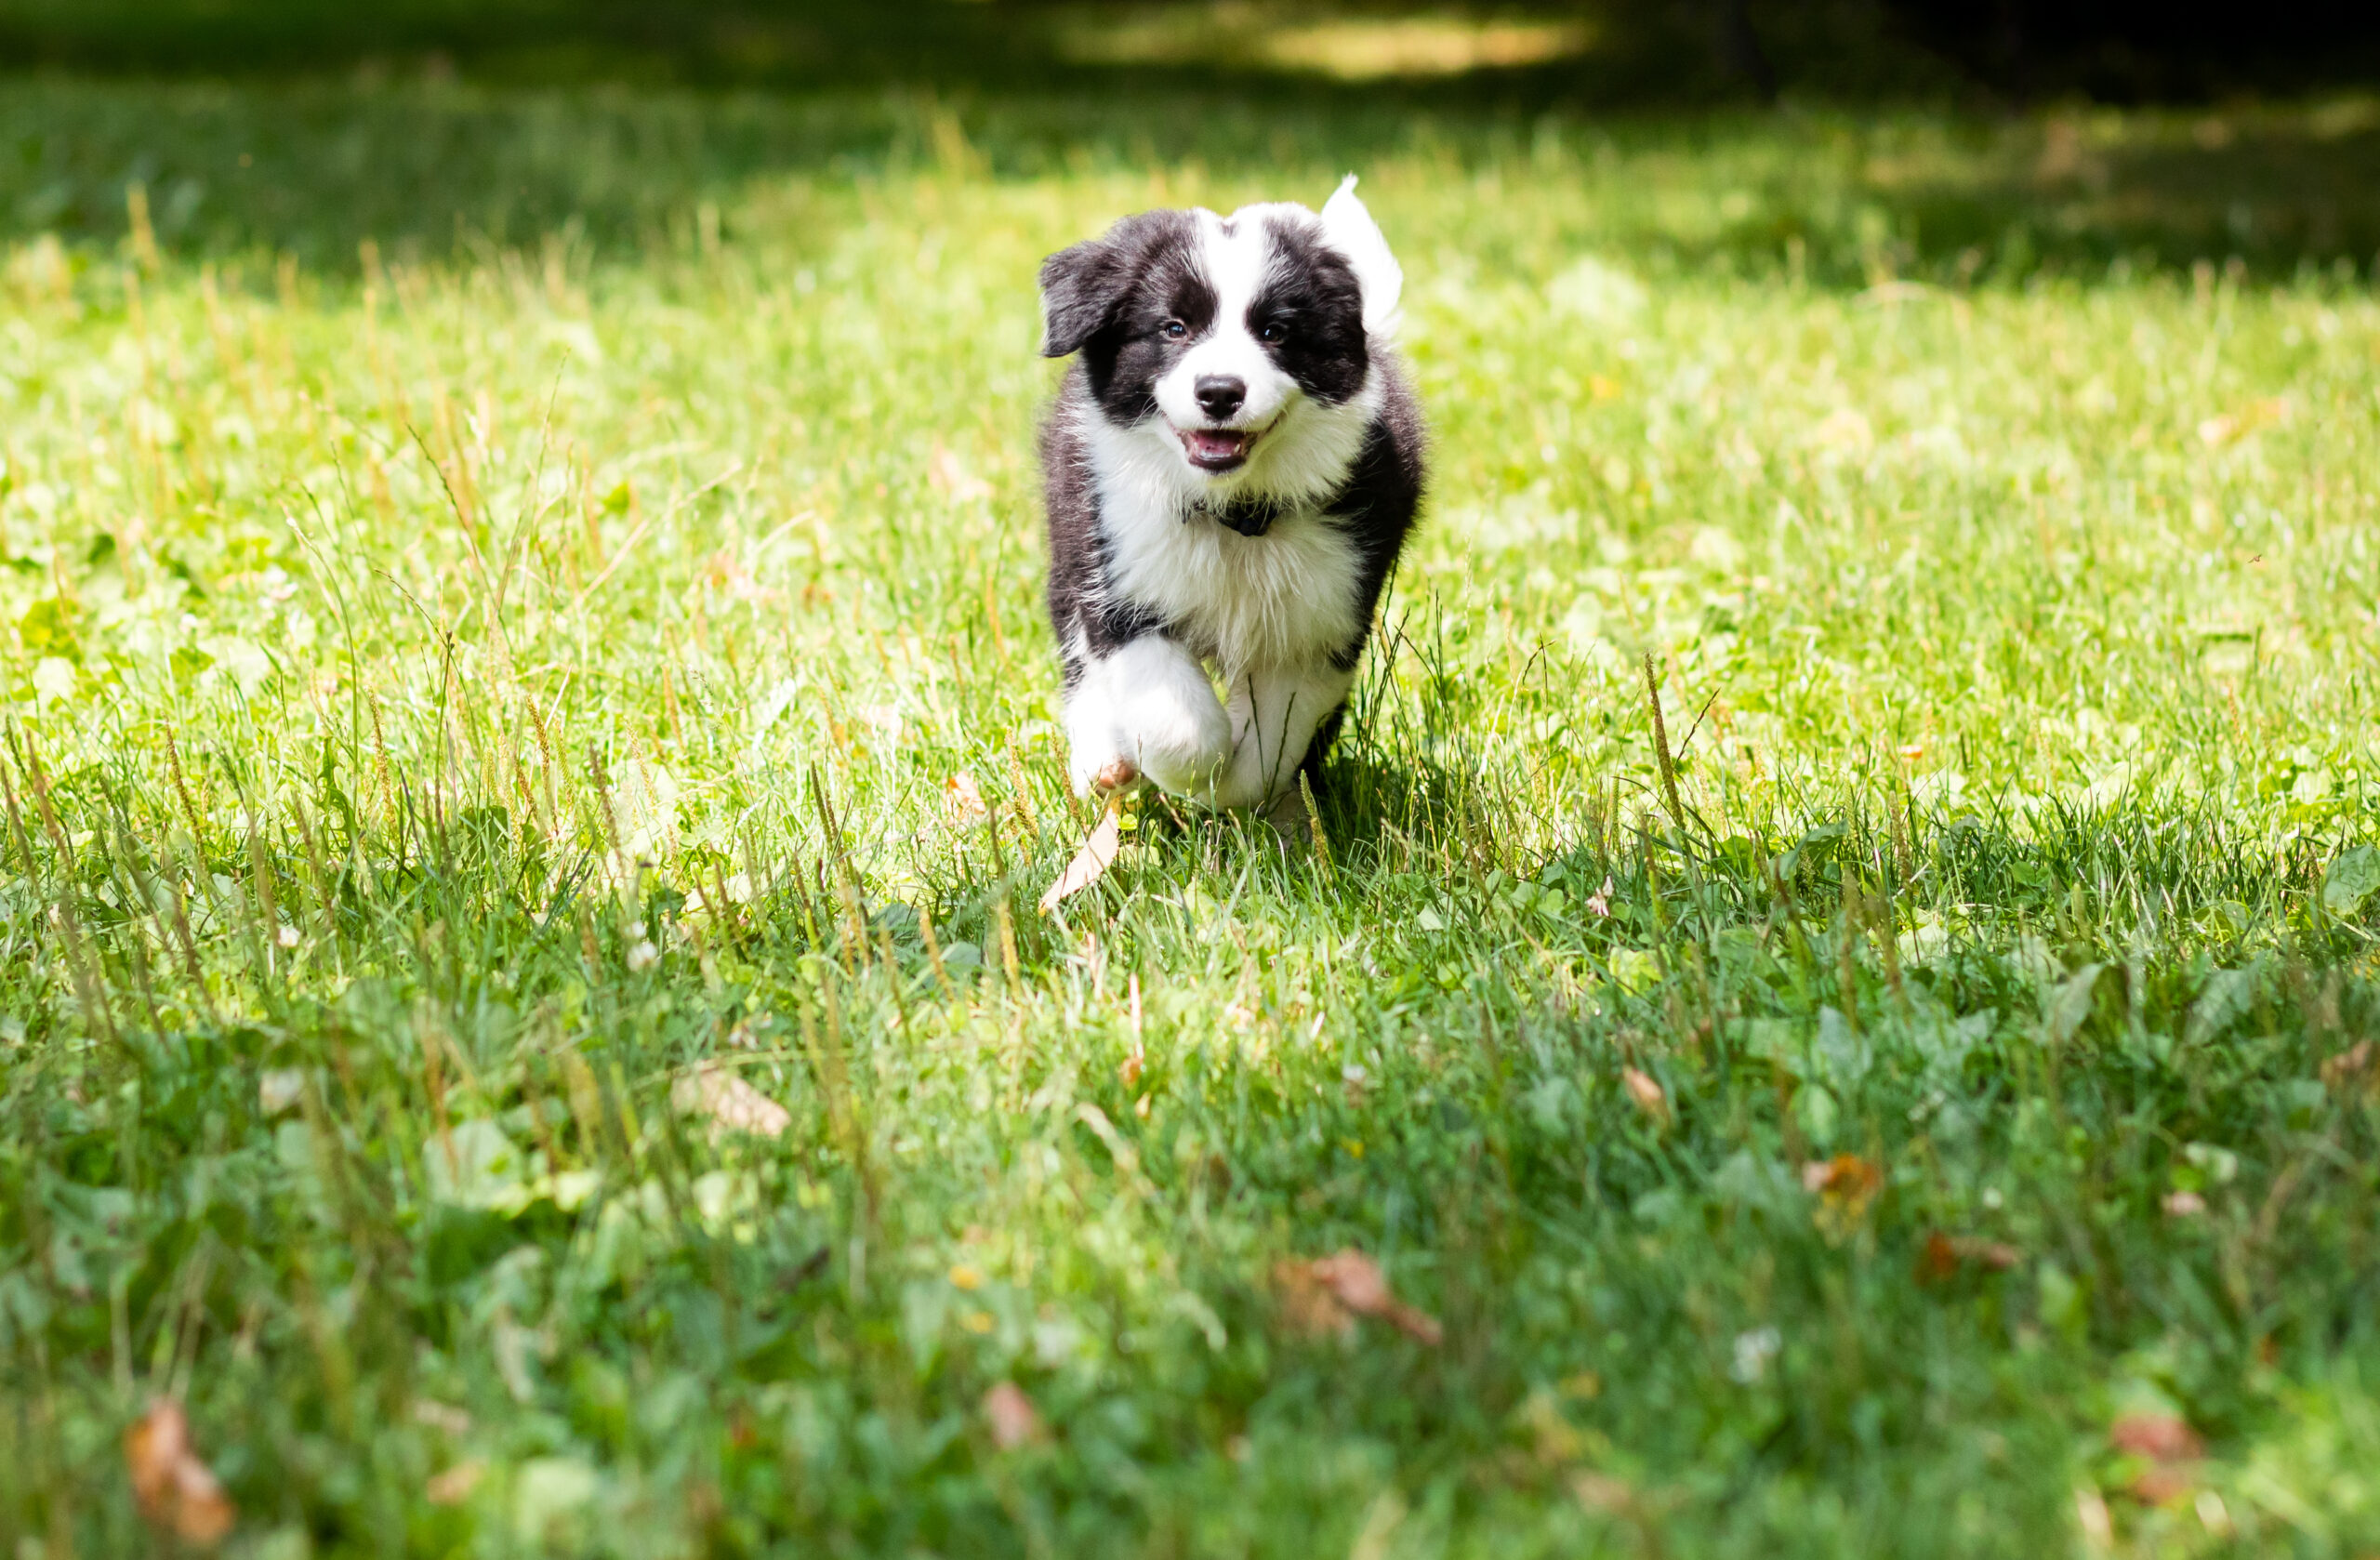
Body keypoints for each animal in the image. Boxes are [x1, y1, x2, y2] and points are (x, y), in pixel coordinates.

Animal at [1038, 177, 1408, 819]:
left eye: (1275, 332)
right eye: (1173, 328)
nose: (1218, 392)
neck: (1231, 513)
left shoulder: (1319, 620)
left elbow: (1270, 745)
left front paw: (1237, 793)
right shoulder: (1119, 573)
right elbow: (1177, 723)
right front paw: (1193, 771)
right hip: (1073, 541)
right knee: (1077, 648)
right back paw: (1102, 761)